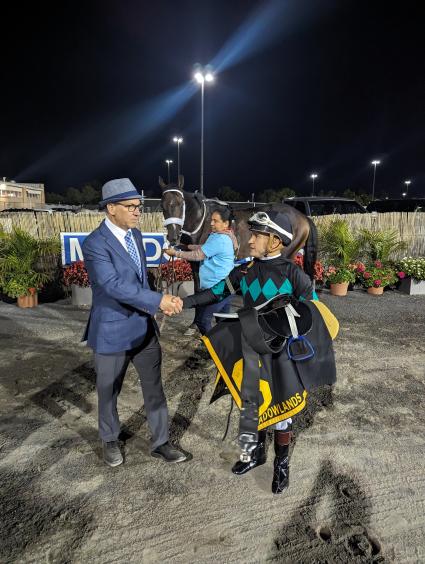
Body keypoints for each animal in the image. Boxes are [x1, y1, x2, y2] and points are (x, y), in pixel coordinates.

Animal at [160, 176, 318, 280]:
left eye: (181, 203)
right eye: (163, 206)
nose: (173, 236)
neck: (202, 221)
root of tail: (303, 217)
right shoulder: (194, 263)